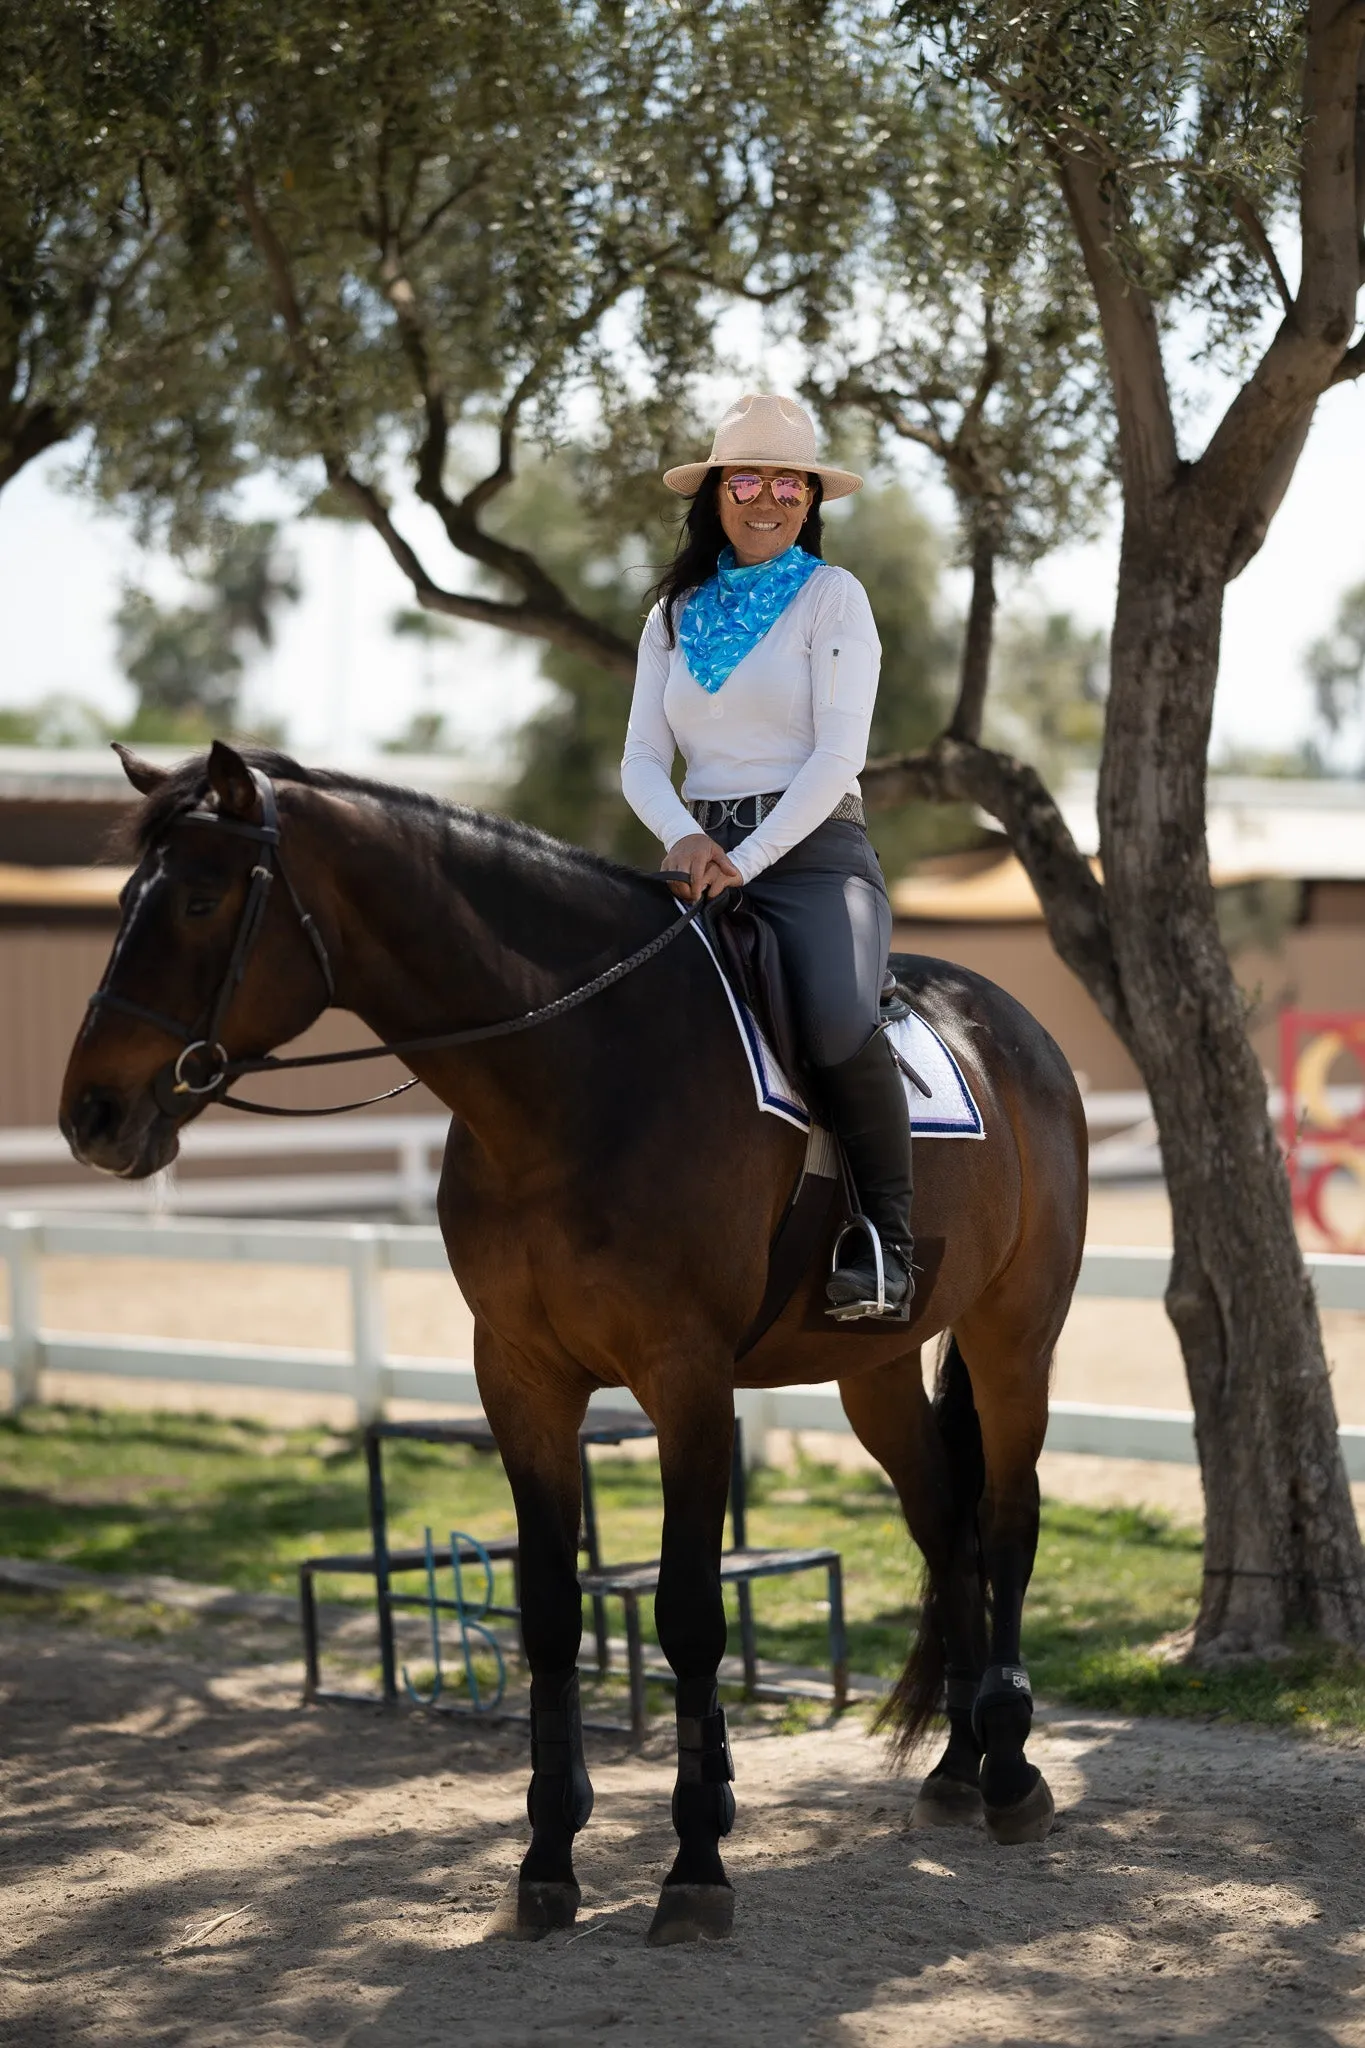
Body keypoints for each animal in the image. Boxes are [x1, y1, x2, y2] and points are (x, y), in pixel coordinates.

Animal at [61, 745, 1088, 1941]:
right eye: (124, 903)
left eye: (196, 899)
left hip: (1014, 1332)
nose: (90, 1114)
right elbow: (548, 1612)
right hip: (874, 1365)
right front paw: (547, 1857)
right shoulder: (520, 1377)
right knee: (944, 1526)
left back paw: (1010, 1772)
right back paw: (959, 1768)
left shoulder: (688, 1381)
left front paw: (696, 1865)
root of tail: (1013, 1025)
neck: (578, 1072)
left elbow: (688, 1615)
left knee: (1006, 1519)